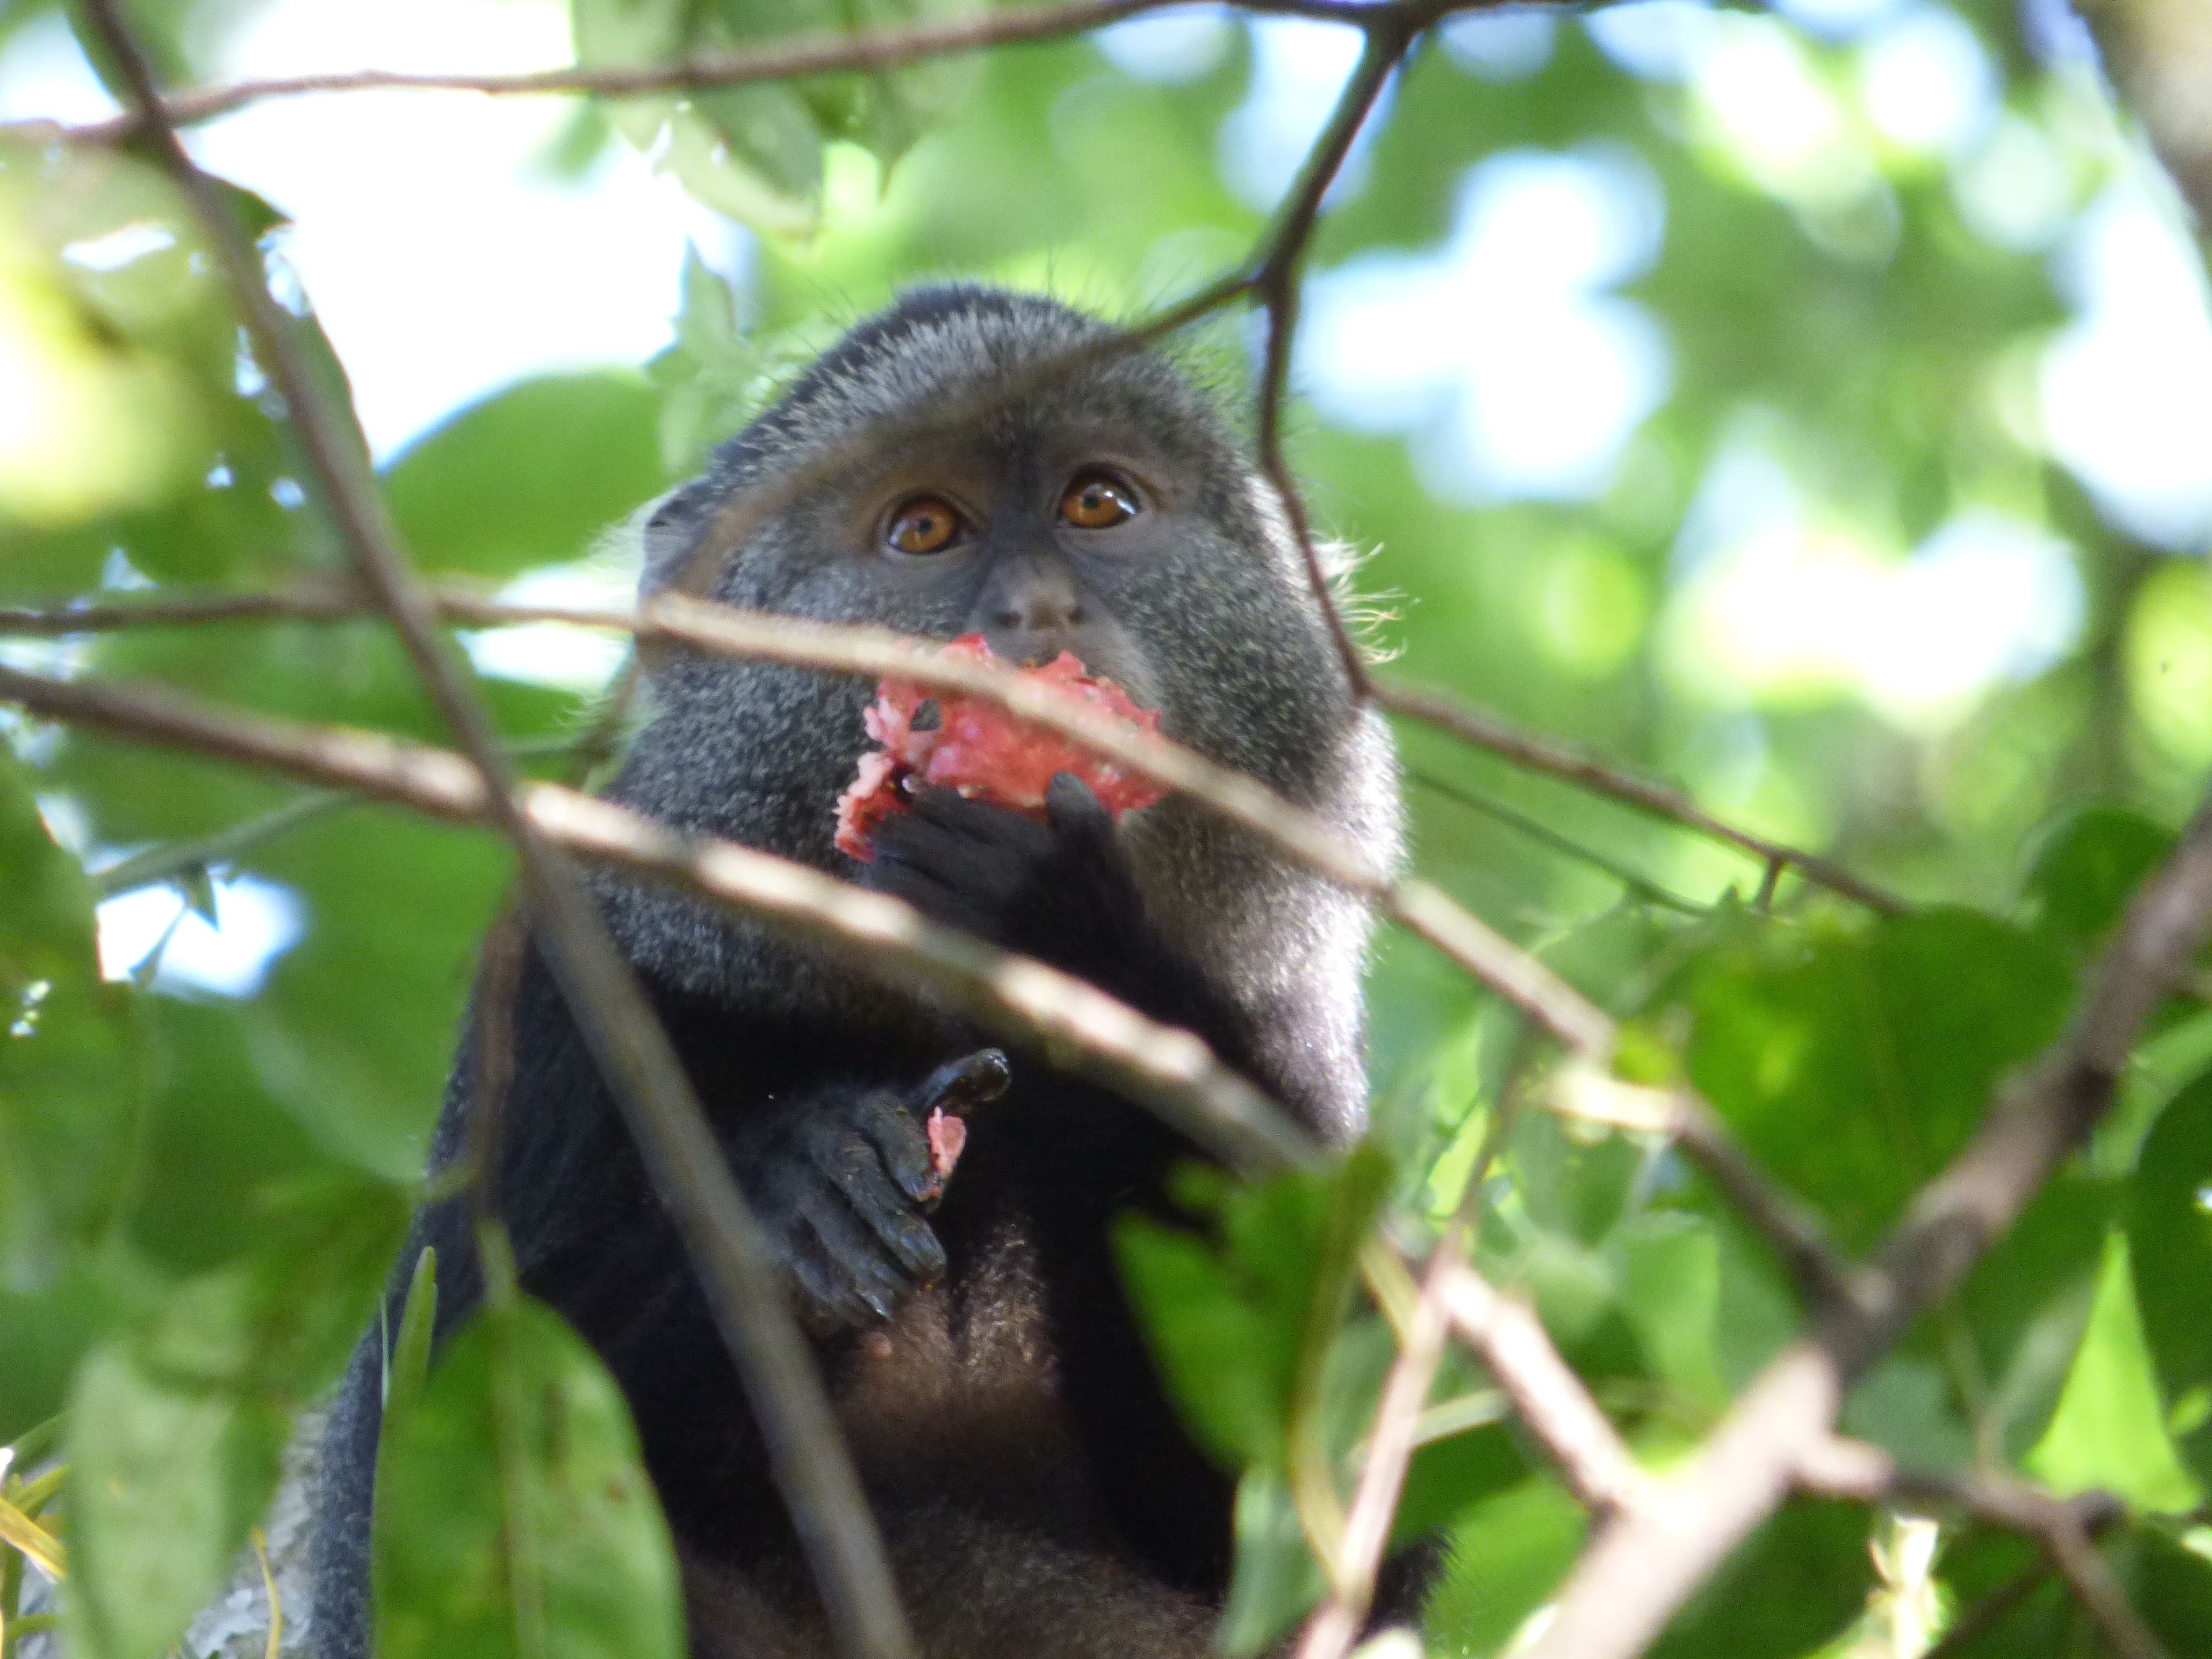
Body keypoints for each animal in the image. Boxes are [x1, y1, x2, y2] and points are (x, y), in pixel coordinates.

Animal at [310, 284, 1407, 1658]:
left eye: (1099, 505)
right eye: (925, 529)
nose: (1036, 615)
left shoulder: (1302, 1062)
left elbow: (1318, 1527)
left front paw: (1058, 926)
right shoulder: (564, 978)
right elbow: (428, 1444)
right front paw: (800, 1191)